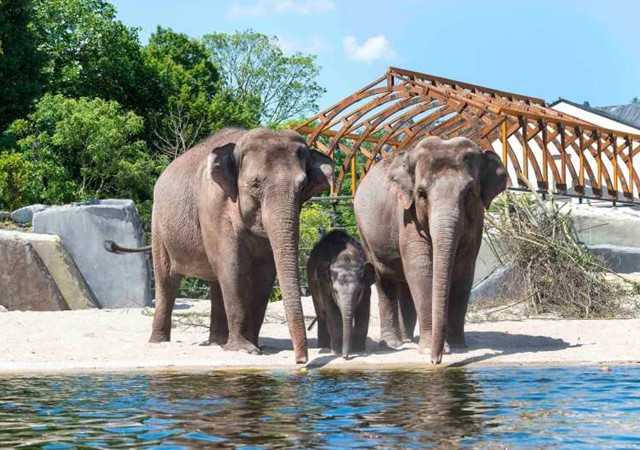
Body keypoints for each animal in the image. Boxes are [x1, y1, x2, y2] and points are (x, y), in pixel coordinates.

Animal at [141, 127, 332, 363]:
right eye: (256, 184)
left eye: (303, 186)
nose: (301, 361)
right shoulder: (213, 205)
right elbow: (231, 266)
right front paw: (245, 349)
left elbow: (265, 273)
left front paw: (255, 346)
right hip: (158, 224)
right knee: (166, 279)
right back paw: (159, 342)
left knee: (215, 283)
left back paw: (218, 343)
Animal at [306, 230, 375, 359]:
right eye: (335, 291)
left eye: (359, 291)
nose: (345, 357)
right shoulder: (325, 285)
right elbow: (333, 313)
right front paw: (337, 352)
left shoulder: (367, 289)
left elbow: (363, 311)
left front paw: (358, 349)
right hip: (312, 284)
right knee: (321, 314)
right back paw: (323, 346)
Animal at [354, 136, 507, 364]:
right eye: (421, 194)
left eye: (469, 193)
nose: (437, 361)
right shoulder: (407, 215)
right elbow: (420, 269)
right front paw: (428, 350)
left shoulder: (477, 220)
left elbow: (464, 272)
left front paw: (459, 347)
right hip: (365, 232)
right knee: (384, 279)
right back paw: (393, 344)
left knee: (404, 284)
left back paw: (408, 339)